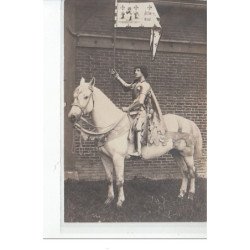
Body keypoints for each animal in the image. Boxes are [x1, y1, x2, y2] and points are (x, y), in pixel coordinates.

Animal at [68, 77, 203, 207]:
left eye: (86, 96)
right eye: (74, 96)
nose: (72, 117)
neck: (111, 125)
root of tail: (188, 122)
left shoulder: (118, 158)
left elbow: (119, 180)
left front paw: (120, 201)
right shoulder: (104, 157)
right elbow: (109, 179)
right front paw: (109, 200)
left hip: (187, 154)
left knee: (192, 172)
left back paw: (190, 195)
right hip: (176, 153)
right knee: (184, 172)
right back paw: (181, 195)